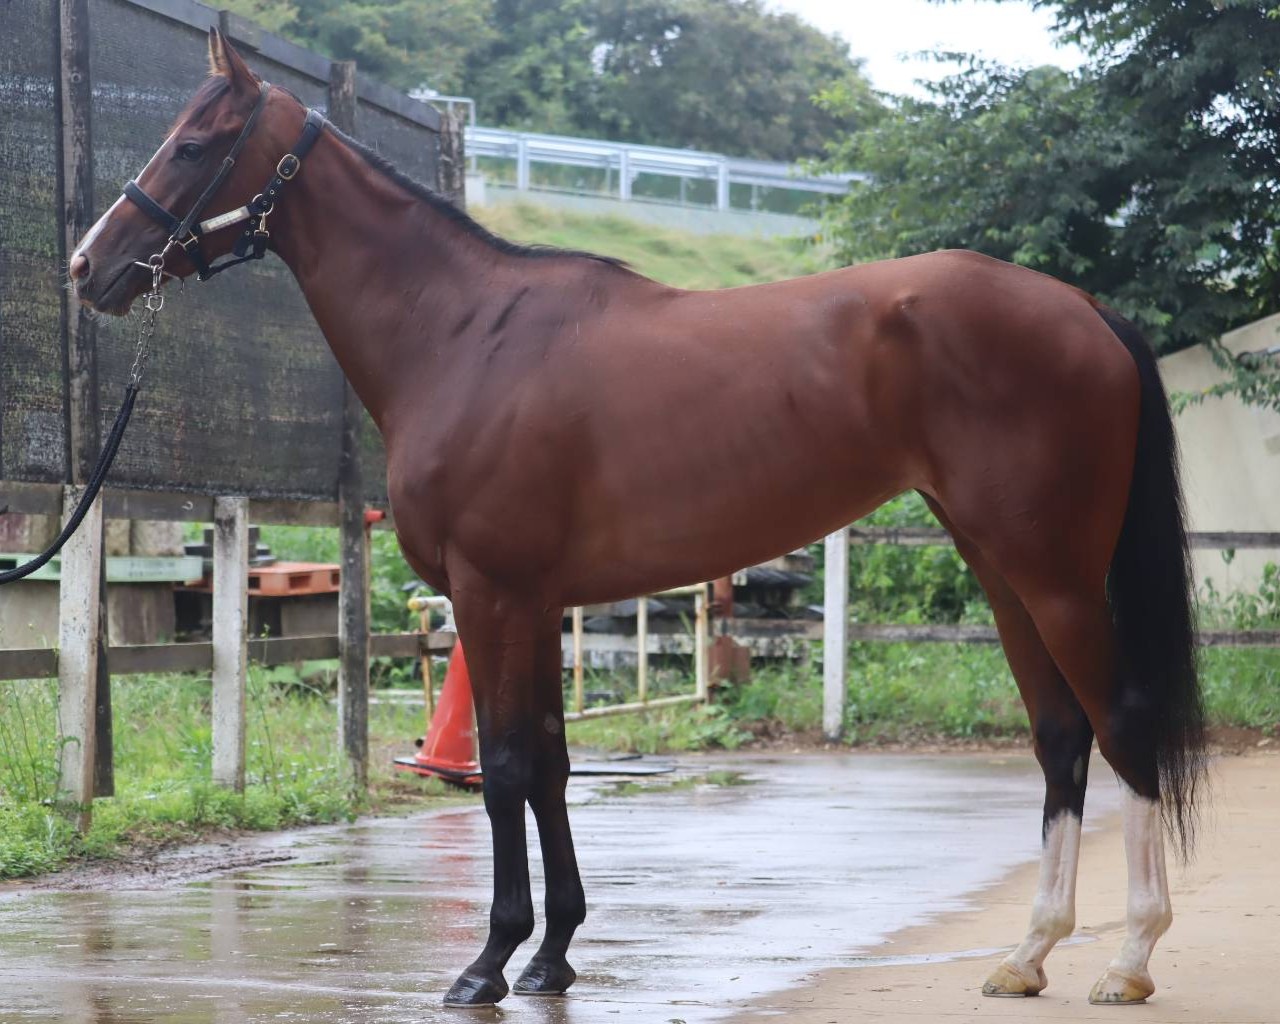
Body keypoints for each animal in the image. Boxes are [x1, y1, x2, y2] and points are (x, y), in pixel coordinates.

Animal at [69, 29, 1205, 1009]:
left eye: (195, 143)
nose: (89, 266)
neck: (465, 335)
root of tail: (1083, 309)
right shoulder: (537, 605)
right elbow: (550, 763)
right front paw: (553, 956)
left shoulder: (490, 595)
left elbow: (503, 771)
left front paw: (487, 962)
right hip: (1001, 564)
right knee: (1060, 734)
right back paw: (1029, 953)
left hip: (1053, 572)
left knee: (1120, 722)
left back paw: (1131, 958)